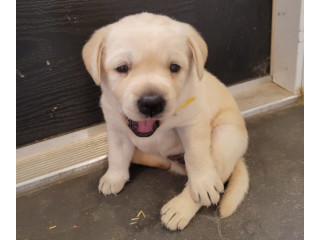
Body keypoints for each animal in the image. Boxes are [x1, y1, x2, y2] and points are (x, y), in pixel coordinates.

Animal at [81, 12, 249, 230]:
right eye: (122, 68)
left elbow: (196, 156)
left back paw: (180, 208)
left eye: (174, 67)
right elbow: (117, 155)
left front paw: (202, 184)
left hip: (225, 136)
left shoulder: (193, 123)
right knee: (157, 161)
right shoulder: (116, 128)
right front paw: (114, 177)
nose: (151, 103)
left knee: (214, 174)